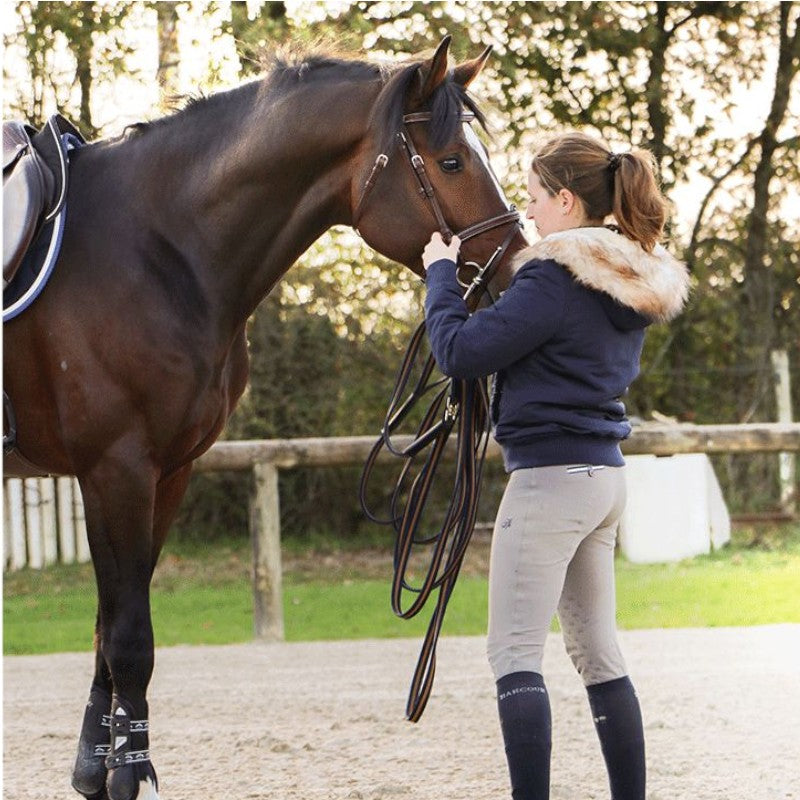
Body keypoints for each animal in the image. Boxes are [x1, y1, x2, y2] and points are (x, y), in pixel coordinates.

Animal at [3, 37, 528, 800]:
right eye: (453, 161)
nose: (518, 268)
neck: (156, 247)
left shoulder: (168, 471)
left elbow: (108, 630)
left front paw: (97, 768)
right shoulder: (115, 469)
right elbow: (129, 639)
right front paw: (130, 776)